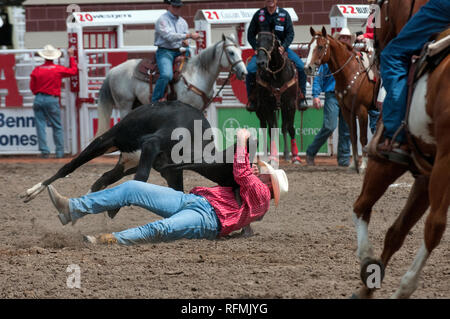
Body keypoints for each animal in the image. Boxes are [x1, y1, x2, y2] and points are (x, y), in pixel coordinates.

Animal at [96, 35, 248, 138]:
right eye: (231, 52)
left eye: (241, 52)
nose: (244, 72)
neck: (197, 74)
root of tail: (112, 71)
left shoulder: (199, 109)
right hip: (125, 105)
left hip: (136, 104)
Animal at [255, 31, 300, 164]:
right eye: (257, 41)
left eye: (271, 41)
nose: (261, 63)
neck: (276, 73)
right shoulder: (267, 106)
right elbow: (271, 129)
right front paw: (274, 155)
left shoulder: (290, 104)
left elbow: (289, 128)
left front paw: (293, 155)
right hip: (260, 110)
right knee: (264, 127)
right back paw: (266, 154)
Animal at [302, 27, 376, 172]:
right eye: (308, 46)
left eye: (320, 47)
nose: (307, 68)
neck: (351, 73)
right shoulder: (347, 111)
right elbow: (353, 136)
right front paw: (353, 165)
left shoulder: (362, 111)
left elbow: (363, 138)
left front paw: (363, 165)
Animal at [352, 1, 450, 298]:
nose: (370, 44)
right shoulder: (427, 174)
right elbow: (396, 232)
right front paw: (367, 287)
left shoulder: (385, 161)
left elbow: (361, 207)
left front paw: (369, 264)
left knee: (434, 226)